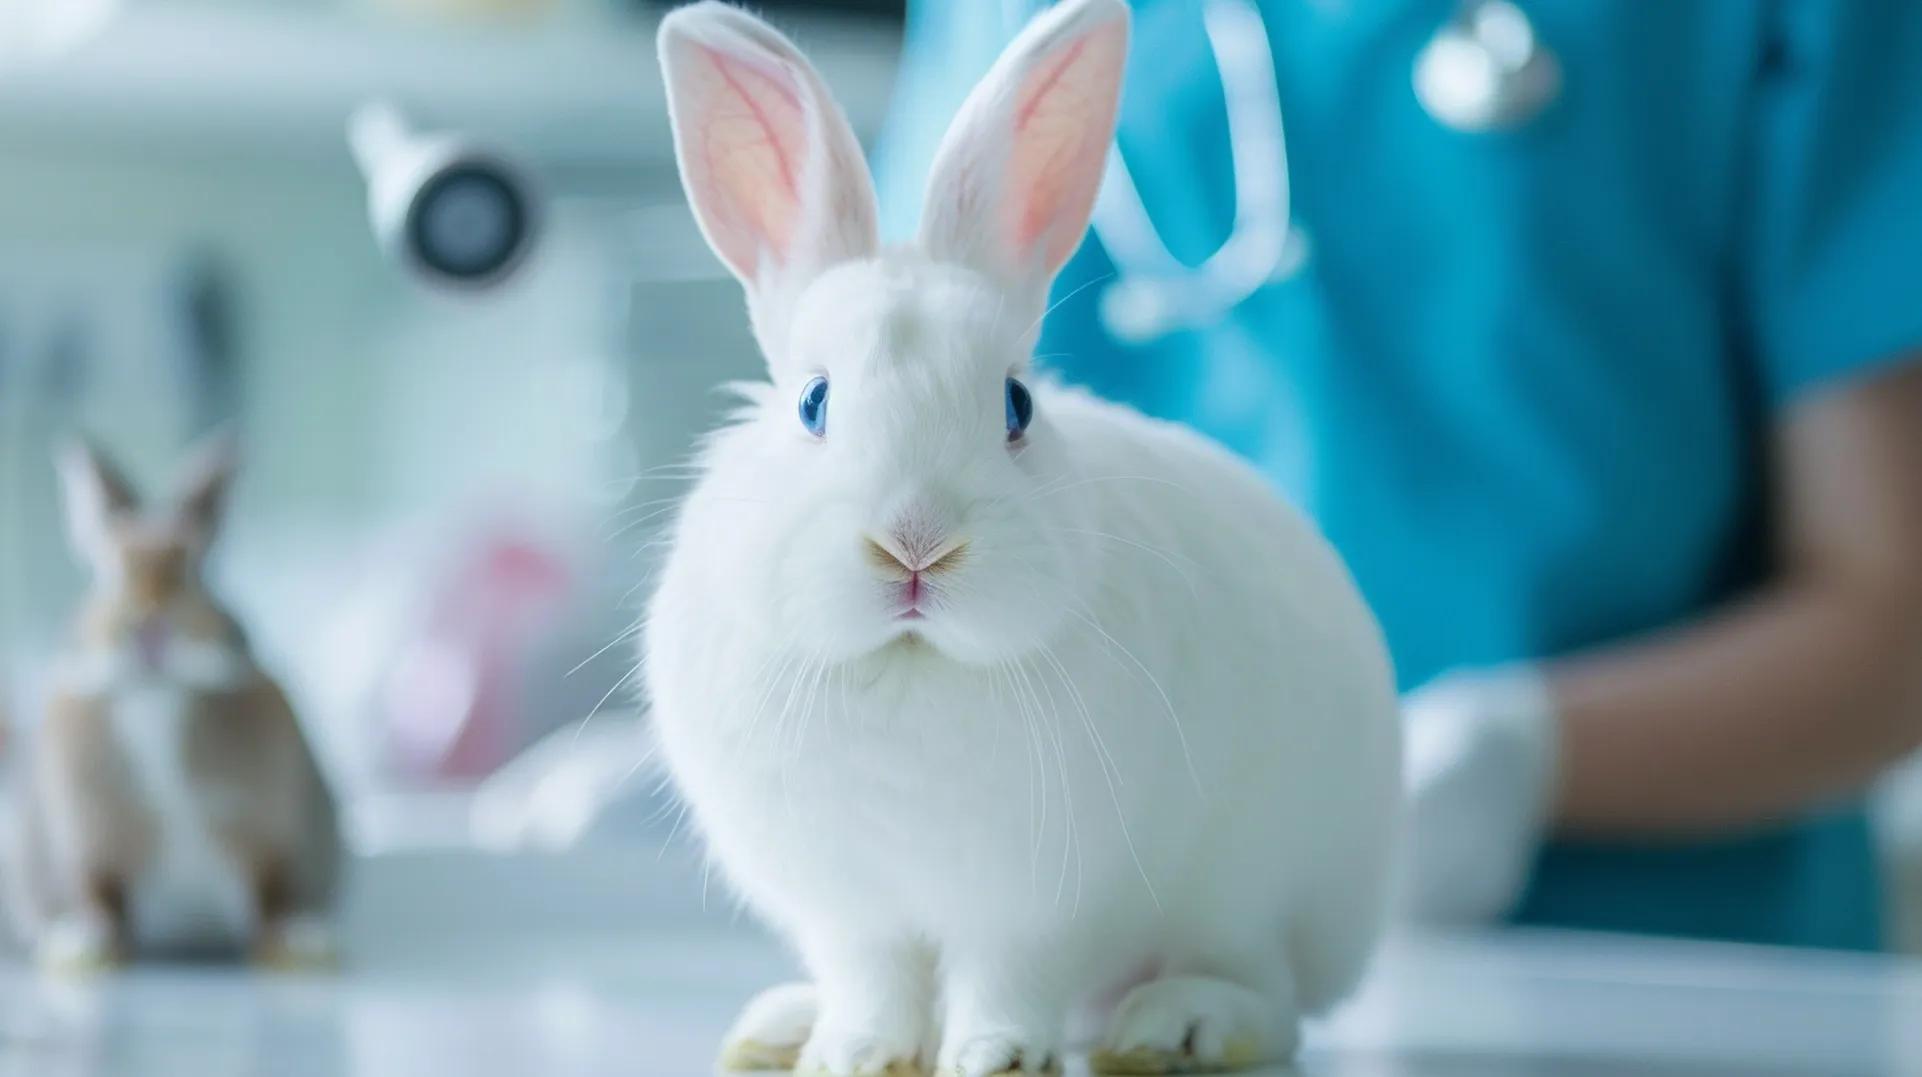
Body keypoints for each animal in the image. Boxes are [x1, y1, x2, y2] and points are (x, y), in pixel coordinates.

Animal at [2, 437, 341, 972]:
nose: (149, 622)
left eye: (193, 569)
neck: (156, 694)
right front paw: (82, 947)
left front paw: (301, 943)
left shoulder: (271, 837)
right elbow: (98, 896)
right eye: (109, 571)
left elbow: (274, 894)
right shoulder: (90, 841)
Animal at [644, 1, 1401, 1073]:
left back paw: (1179, 1025)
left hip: (1249, 888)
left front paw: (994, 1054)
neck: (909, 661)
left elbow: (1007, 980)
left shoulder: (1035, 907)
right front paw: (854, 1051)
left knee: (1270, 993)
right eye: (813, 402)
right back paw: (782, 1024)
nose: (916, 544)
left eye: (1017, 405)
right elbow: (874, 982)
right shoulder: (853, 911)